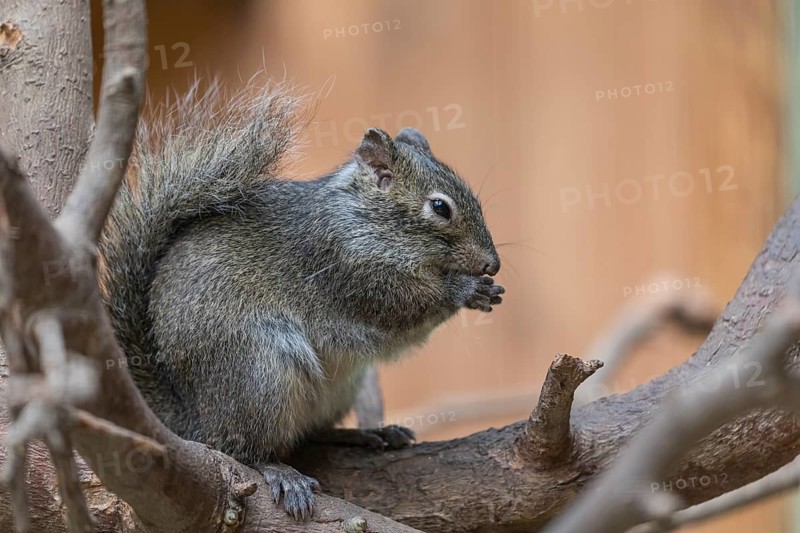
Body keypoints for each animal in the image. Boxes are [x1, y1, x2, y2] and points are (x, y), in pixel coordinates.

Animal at [99, 79, 504, 520]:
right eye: (440, 207)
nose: (493, 264)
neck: (362, 218)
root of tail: (193, 421)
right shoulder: (345, 268)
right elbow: (403, 304)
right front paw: (465, 290)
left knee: (311, 433)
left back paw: (365, 434)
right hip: (259, 372)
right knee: (243, 449)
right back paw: (281, 472)